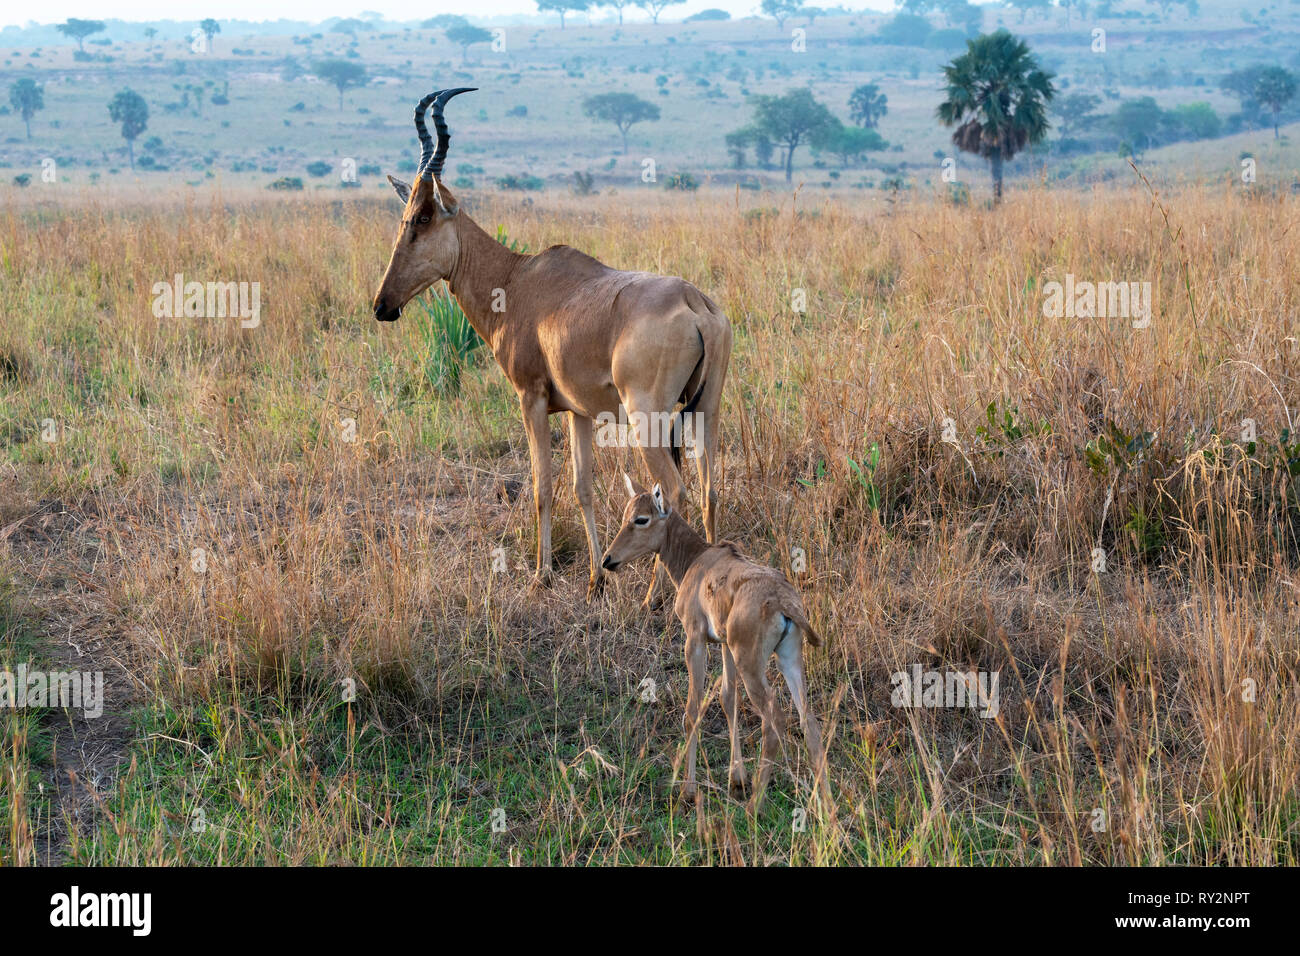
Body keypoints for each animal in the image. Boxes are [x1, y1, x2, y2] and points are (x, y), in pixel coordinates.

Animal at [371, 89, 733, 598]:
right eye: (404, 216)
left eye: (422, 217)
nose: (383, 305)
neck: (517, 278)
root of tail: (693, 301)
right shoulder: (579, 412)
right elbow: (582, 487)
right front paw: (595, 580)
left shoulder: (532, 397)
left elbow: (542, 484)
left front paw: (541, 574)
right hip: (706, 409)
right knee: (709, 490)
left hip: (648, 415)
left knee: (674, 491)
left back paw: (652, 597)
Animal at [600, 476, 826, 811]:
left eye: (641, 519)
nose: (608, 560)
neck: (699, 560)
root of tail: (783, 601)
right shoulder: (724, 645)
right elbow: (727, 699)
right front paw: (737, 779)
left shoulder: (695, 640)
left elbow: (693, 710)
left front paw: (689, 791)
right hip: (788, 658)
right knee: (808, 720)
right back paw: (824, 804)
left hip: (752, 665)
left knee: (774, 720)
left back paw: (754, 805)